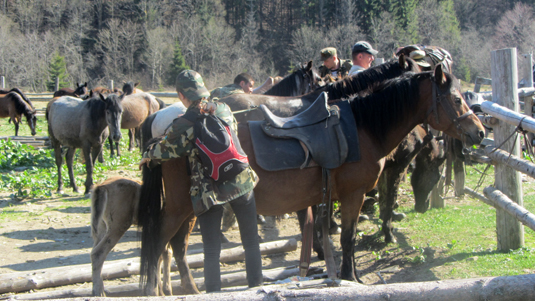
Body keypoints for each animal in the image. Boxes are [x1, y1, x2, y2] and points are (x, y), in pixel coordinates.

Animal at [137, 65, 486, 292]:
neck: (362, 127)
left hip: (192, 207)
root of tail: (165, 132)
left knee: (178, 246)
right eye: (456, 99)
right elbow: (347, 238)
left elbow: (330, 232)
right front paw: (350, 277)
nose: (480, 132)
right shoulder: (353, 195)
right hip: (181, 206)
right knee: (159, 242)